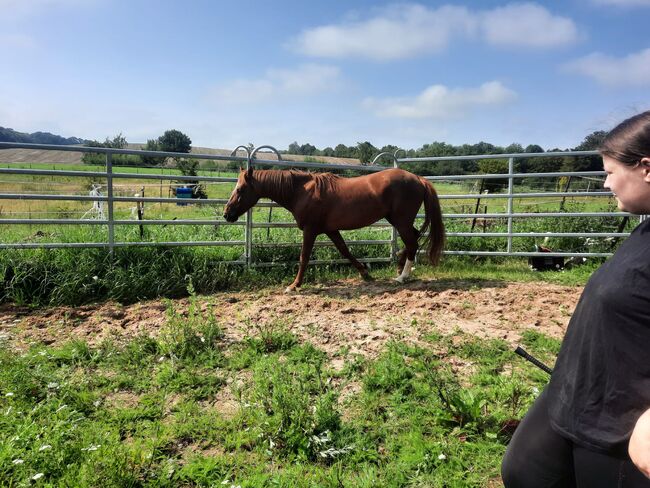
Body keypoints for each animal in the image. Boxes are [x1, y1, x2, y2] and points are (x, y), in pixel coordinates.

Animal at [220, 166, 442, 292]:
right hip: (399, 220)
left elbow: (304, 257)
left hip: (400, 221)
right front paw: (365, 274)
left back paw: (402, 276)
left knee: (412, 242)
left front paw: (294, 285)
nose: (227, 214)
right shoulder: (331, 230)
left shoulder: (310, 230)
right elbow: (345, 251)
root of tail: (418, 179)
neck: (302, 192)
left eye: (240, 189)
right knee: (413, 239)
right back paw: (400, 267)